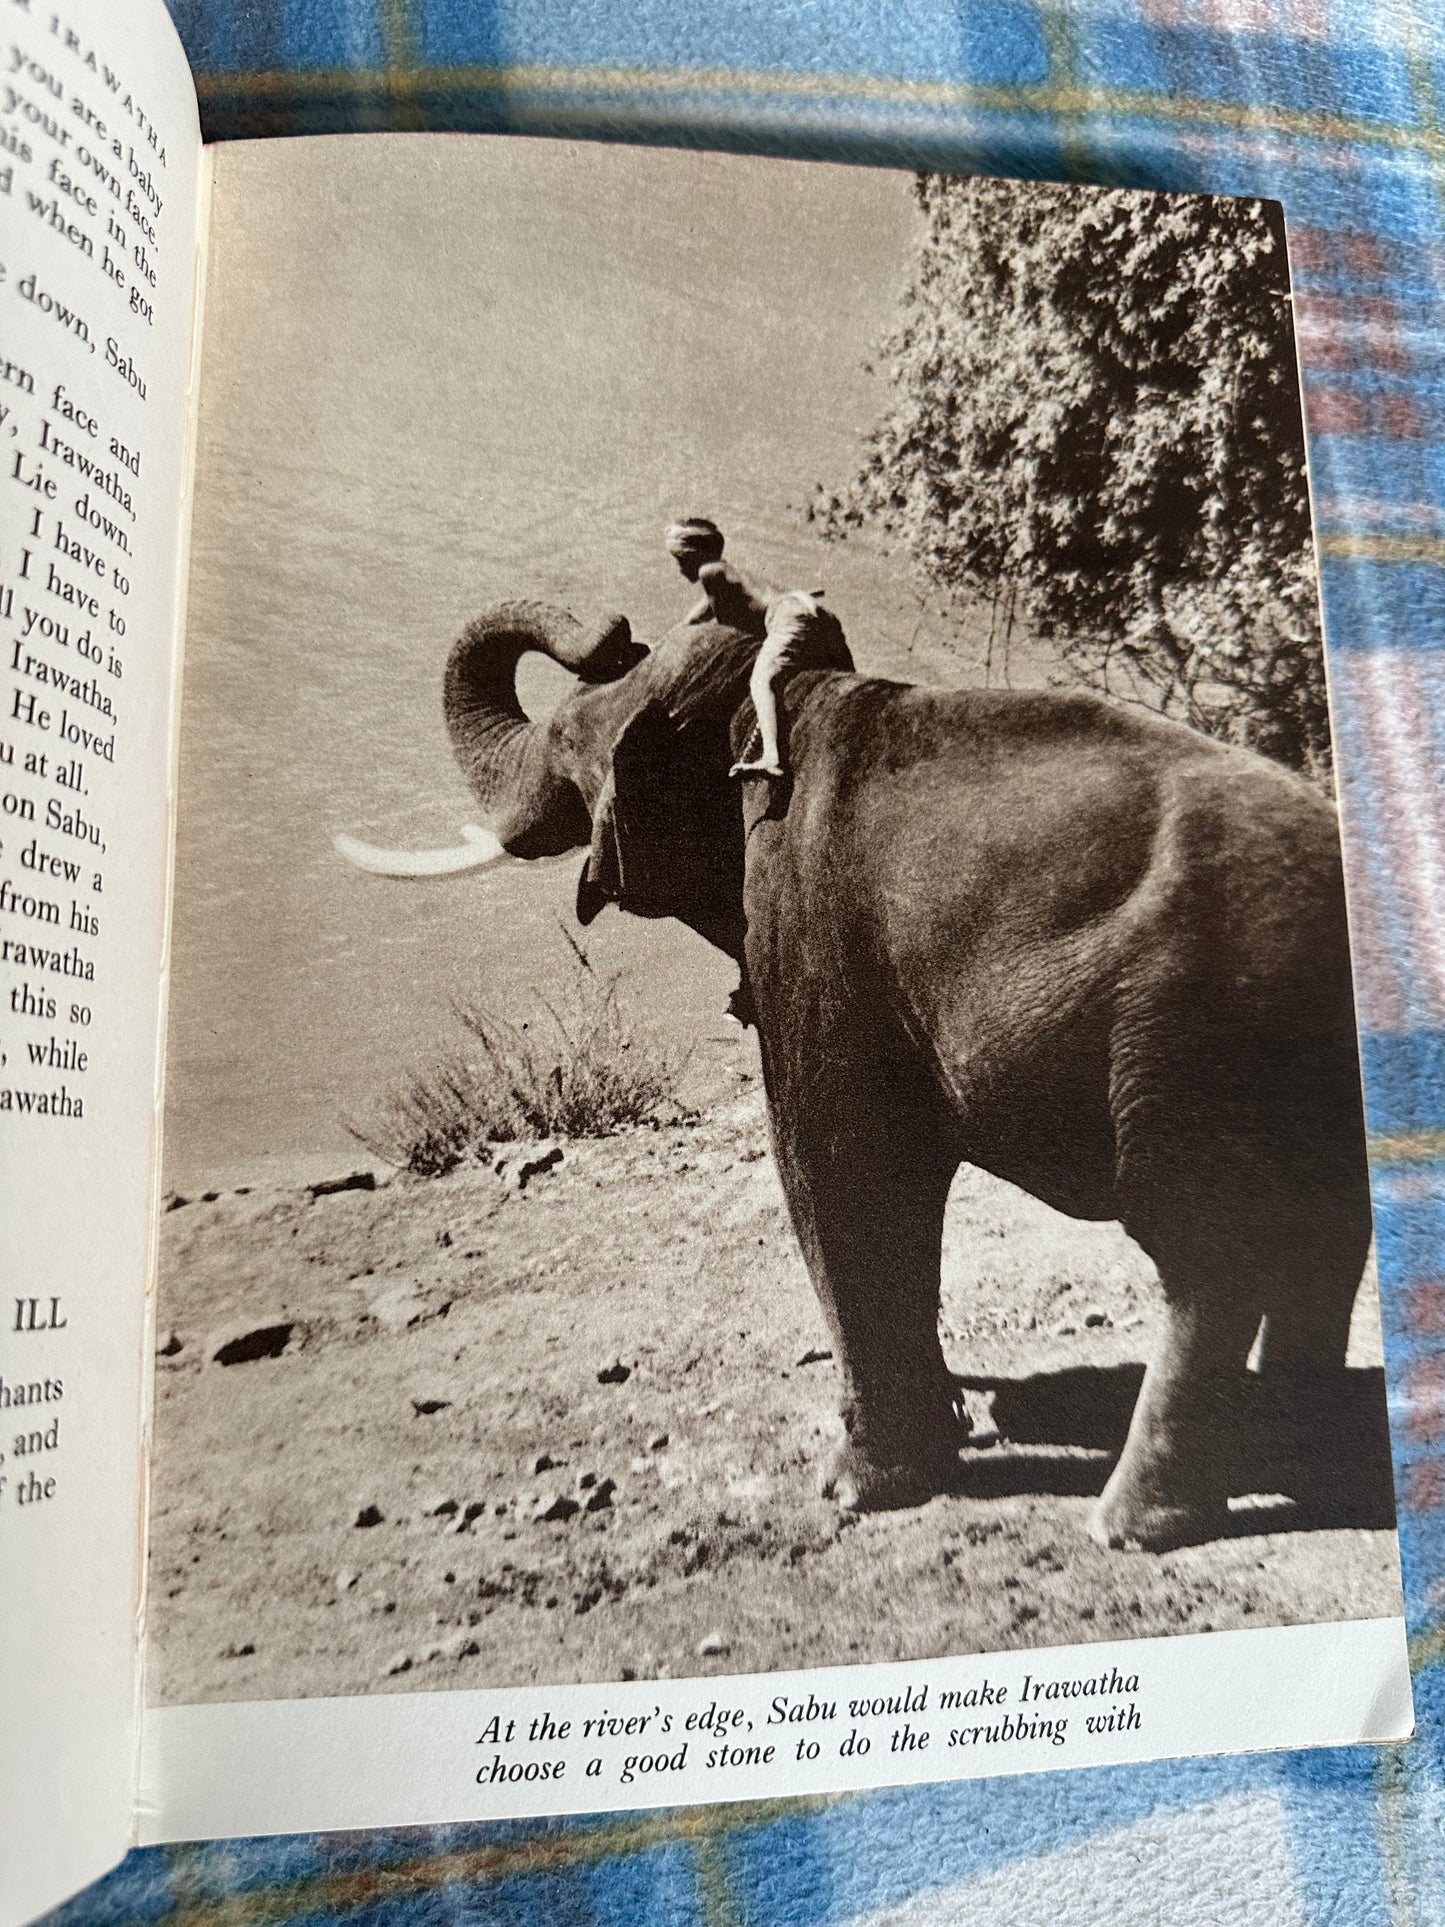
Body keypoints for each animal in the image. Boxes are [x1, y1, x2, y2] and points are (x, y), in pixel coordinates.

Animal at [346, 573, 1372, 1553]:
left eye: (563, 742)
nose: (610, 625)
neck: (778, 699)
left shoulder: (808, 929)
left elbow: (835, 1164)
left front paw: (855, 1486)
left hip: (1190, 1039)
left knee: (1209, 1249)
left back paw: (1131, 1522)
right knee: (1329, 1224)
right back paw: (1295, 1448)